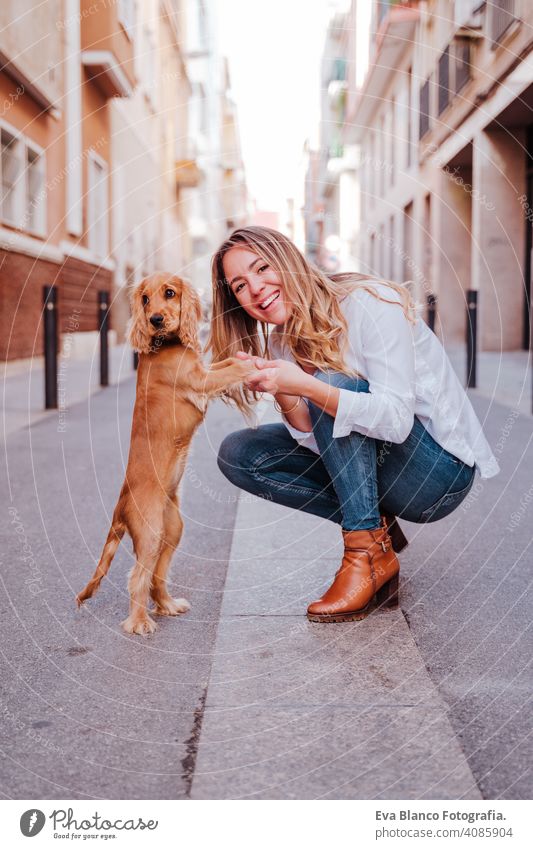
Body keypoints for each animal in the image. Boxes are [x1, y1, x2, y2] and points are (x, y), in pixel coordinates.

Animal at [76, 274, 255, 632]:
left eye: (169, 293)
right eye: (144, 299)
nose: (155, 319)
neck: (166, 345)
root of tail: (120, 505)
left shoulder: (204, 371)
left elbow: (227, 361)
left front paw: (245, 357)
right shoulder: (200, 380)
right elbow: (229, 370)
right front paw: (256, 365)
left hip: (172, 529)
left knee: (157, 576)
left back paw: (167, 605)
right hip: (150, 532)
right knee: (138, 577)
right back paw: (140, 621)